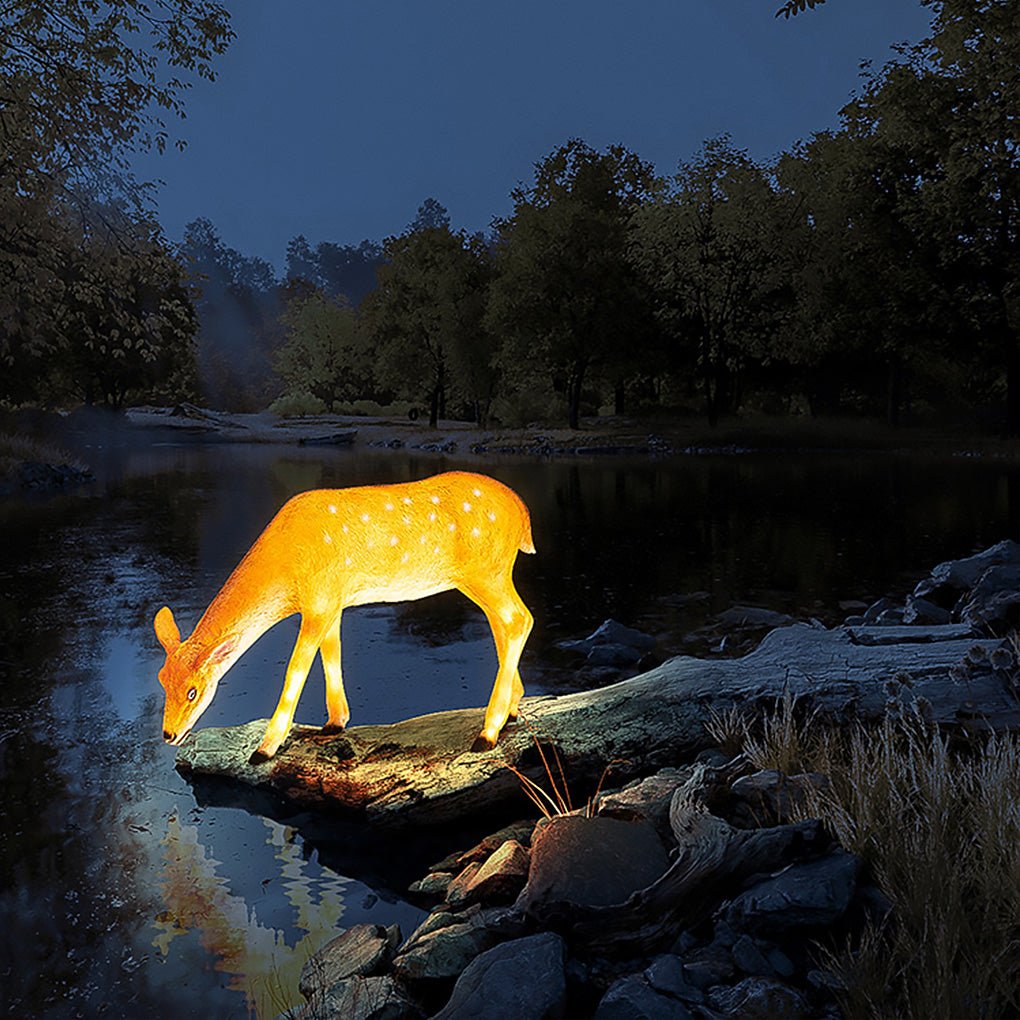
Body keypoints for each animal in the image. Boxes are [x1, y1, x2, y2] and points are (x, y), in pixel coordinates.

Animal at [154, 470, 535, 763]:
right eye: (161, 679)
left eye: (193, 691)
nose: (169, 734)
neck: (286, 569)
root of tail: (522, 512)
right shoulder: (332, 602)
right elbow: (331, 655)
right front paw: (335, 723)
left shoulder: (319, 598)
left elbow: (296, 668)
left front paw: (265, 748)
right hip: (485, 575)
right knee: (506, 622)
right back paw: (512, 709)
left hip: (486, 570)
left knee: (519, 619)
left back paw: (487, 733)